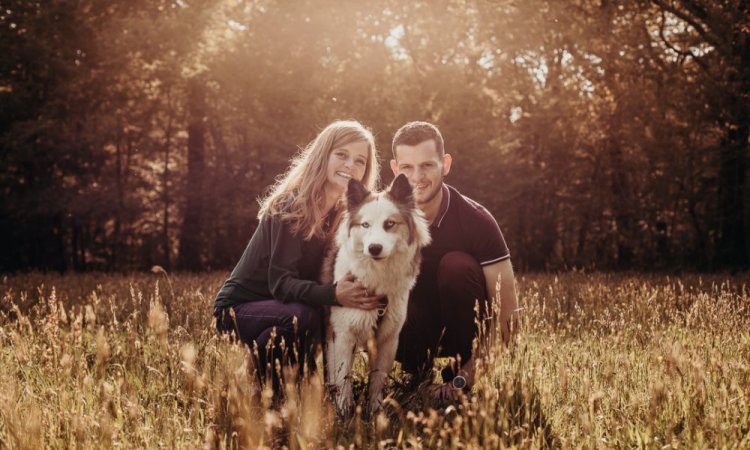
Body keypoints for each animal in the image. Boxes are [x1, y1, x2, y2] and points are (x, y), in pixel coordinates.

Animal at [324, 172, 434, 414]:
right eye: (365, 224)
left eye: (389, 224)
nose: (374, 248)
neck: (376, 275)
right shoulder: (342, 334)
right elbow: (343, 377)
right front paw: (344, 410)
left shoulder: (388, 337)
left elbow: (377, 378)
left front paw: (375, 410)